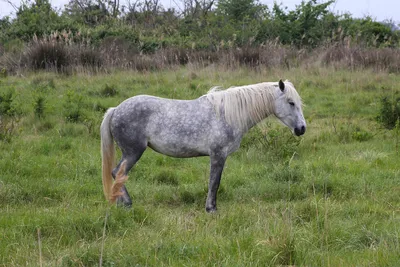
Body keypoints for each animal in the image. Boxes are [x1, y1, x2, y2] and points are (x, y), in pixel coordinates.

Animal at [101, 80, 306, 214]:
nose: (301, 129)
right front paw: (211, 209)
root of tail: (116, 110)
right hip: (133, 152)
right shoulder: (218, 155)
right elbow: (214, 182)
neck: (227, 114)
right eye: (291, 102)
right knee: (118, 173)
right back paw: (127, 204)